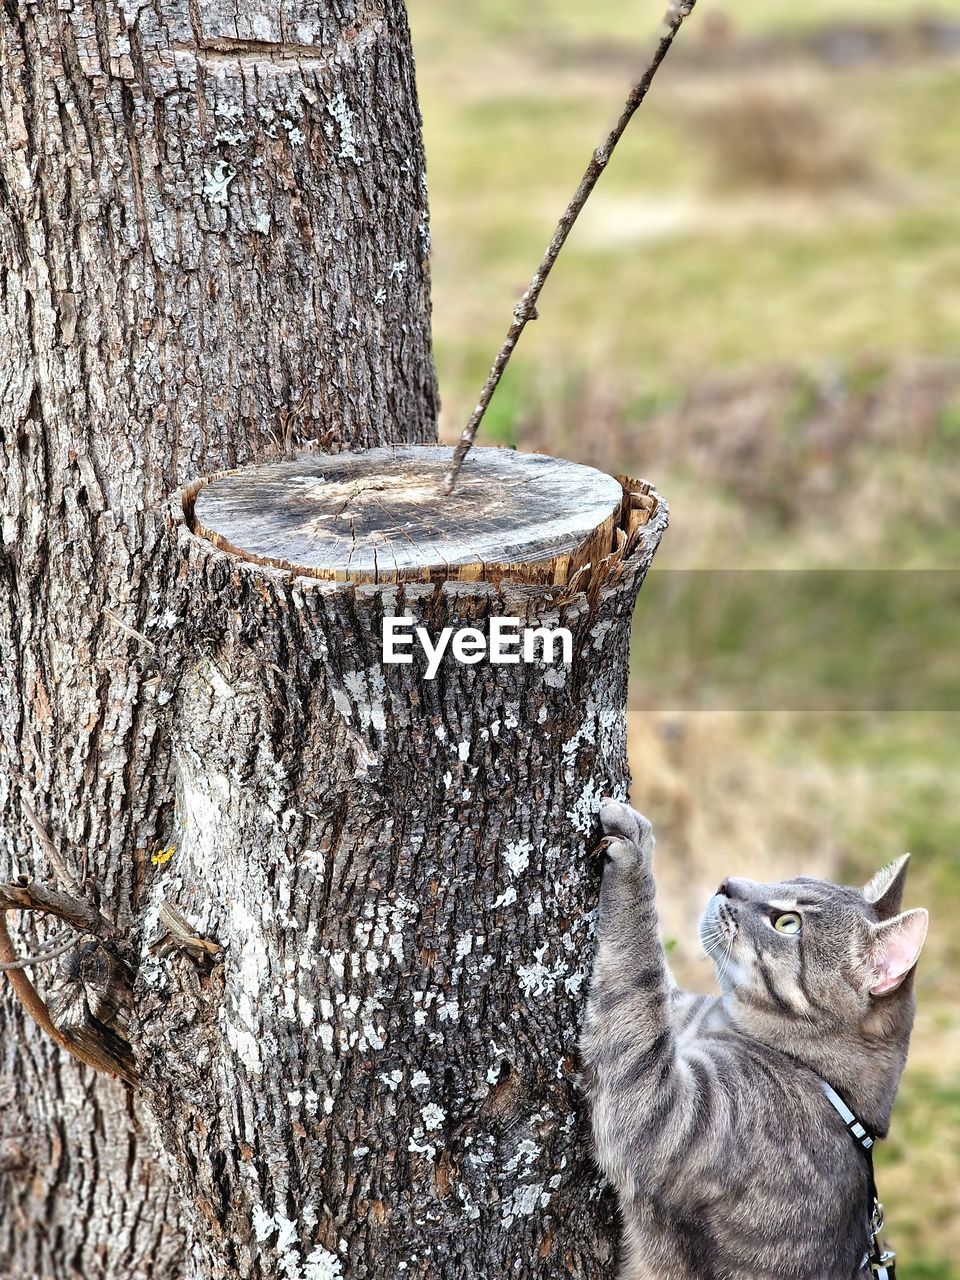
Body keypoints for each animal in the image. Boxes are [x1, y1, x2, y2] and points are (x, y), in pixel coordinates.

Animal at [583, 793, 926, 1274]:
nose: (726, 882)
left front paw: (635, 851)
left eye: (788, 923)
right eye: (782, 879)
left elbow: (636, 967)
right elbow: (655, 987)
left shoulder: (663, 1112)